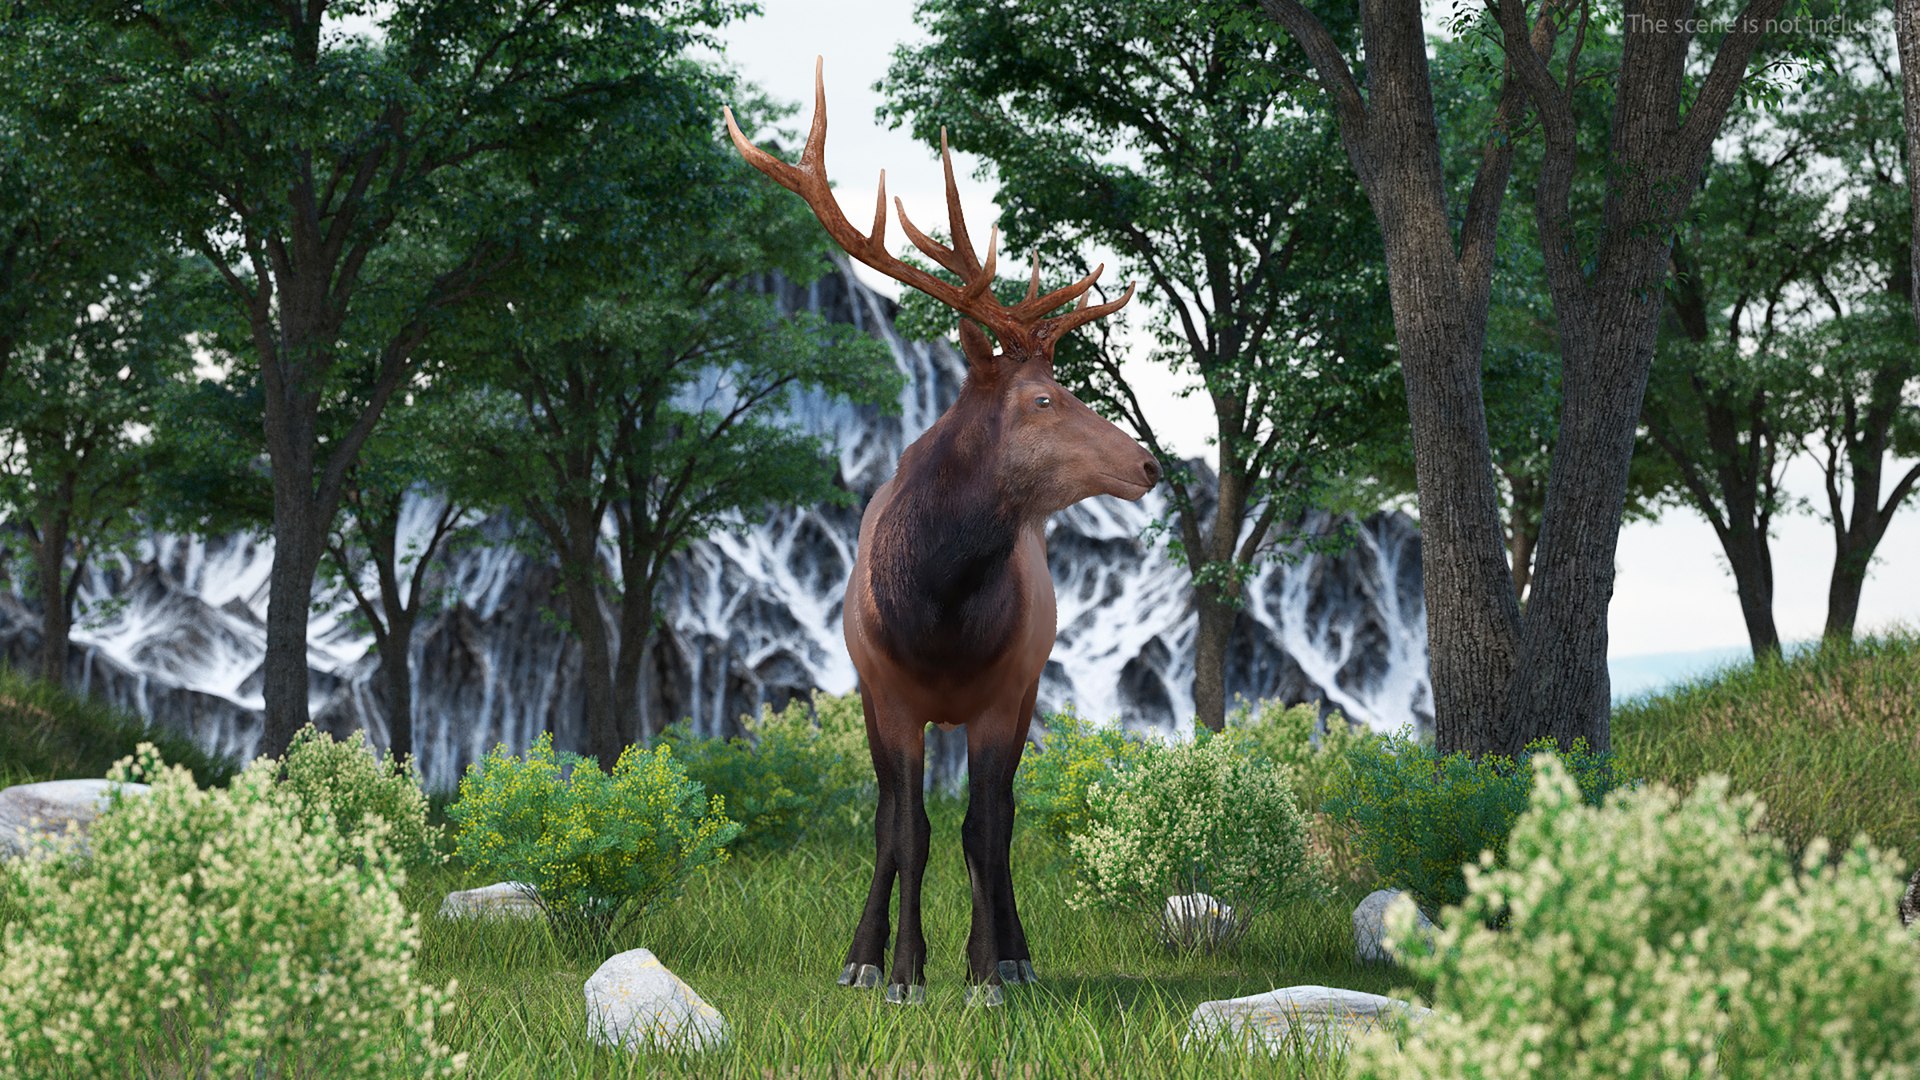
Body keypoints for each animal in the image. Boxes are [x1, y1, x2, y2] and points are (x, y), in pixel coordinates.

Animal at [724, 59, 1160, 1008]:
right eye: (1044, 399)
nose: (1149, 464)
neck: (937, 612)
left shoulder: (1004, 694)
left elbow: (986, 829)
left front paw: (988, 972)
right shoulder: (887, 692)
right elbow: (907, 828)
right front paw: (899, 975)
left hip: (1027, 689)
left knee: (995, 821)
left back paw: (1011, 955)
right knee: (890, 817)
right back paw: (865, 955)